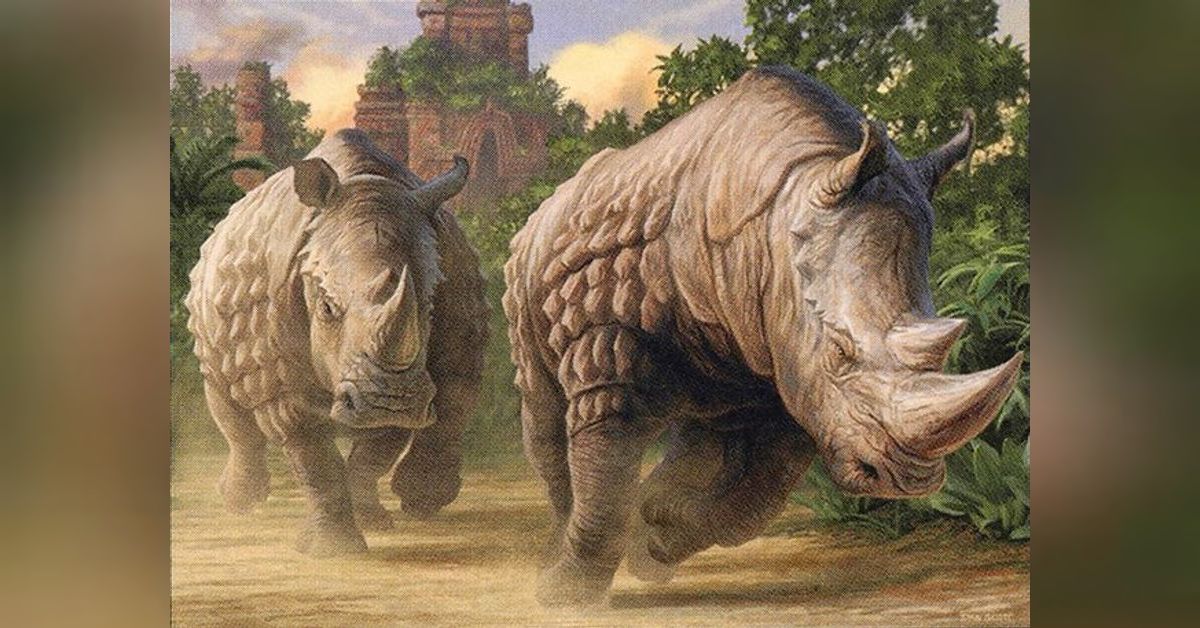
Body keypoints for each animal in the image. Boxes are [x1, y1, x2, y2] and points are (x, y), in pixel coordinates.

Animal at [186, 129, 487, 556]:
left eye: (430, 304)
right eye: (326, 307)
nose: (389, 400)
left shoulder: (413, 373)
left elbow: (380, 446)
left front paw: (374, 521)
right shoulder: (278, 372)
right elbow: (313, 456)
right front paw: (332, 550)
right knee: (224, 397)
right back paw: (240, 504)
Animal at [503, 67, 1022, 606]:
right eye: (839, 352)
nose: (907, 480)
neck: (774, 226)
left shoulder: (787, 360)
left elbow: (758, 498)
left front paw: (655, 534)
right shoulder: (609, 343)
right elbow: (604, 471)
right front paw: (564, 594)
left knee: (712, 424)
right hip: (525, 266)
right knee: (544, 414)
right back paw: (556, 553)